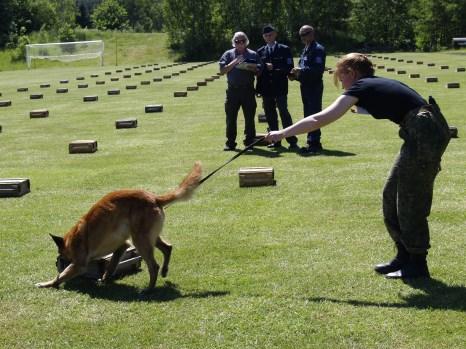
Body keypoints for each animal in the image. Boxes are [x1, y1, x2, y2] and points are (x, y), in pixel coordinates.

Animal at [35, 162, 203, 290]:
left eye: (61, 256)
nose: (58, 260)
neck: (72, 239)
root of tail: (154, 198)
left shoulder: (79, 264)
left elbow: (60, 276)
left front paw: (46, 283)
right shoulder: (122, 245)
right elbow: (111, 265)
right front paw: (104, 279)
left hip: (140, 240)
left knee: (153, 265)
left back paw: (149, 289)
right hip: (146, 237)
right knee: (168, 247)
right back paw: (164, 271)